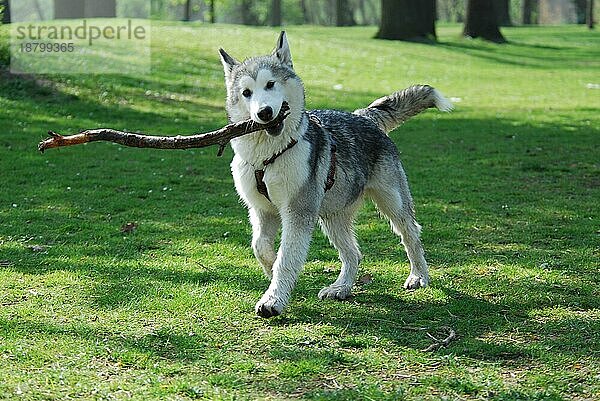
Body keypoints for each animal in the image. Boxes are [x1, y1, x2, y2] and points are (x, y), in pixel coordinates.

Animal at [216, 31, 450, 318]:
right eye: (246, 93)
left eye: (270, 84)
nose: (264, 113)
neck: (270, 154)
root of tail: (364, 116)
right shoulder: (262, 211)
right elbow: (261, 247)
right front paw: (272, 271)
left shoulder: (298, 211)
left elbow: (286, 258)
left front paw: (273, 299)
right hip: (332, 217)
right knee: (353, 254)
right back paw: (342, 288)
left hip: (393, 203)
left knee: (411, 235)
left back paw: (419, 276)